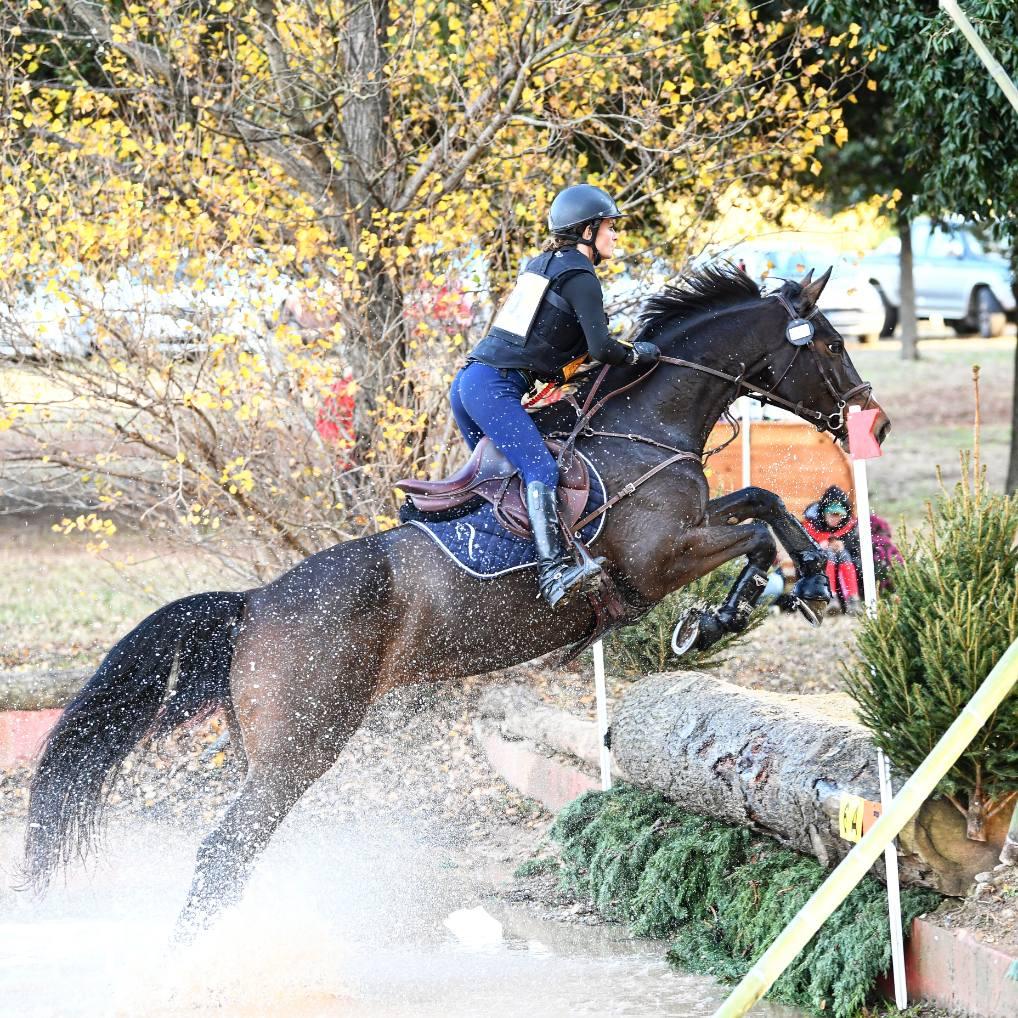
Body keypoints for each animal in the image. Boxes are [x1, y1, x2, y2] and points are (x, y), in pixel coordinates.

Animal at [21, 264, 883, 936]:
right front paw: (745, 604)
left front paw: (790, 582)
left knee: (235, 857)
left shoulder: (695, 526)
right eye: (828, 343)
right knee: (223, 852)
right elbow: (758, 526)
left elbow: (763, 501)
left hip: (271, 752)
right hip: (301, 748)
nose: (865, 411)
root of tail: (253, 604)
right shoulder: (660, 558)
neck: (645, 427)